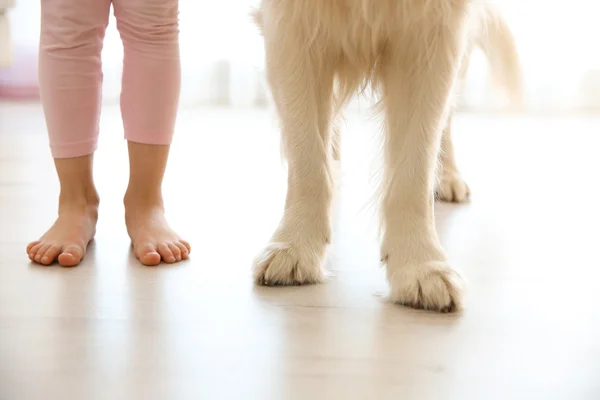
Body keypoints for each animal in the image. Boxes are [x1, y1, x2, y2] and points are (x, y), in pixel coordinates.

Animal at [252, 0, 520, 312]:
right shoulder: (290, 26)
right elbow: (308, 160)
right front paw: (294, 246)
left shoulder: (435, 31)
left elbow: (414, 171)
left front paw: (421, 265)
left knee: (446, 120)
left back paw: (448, 177)